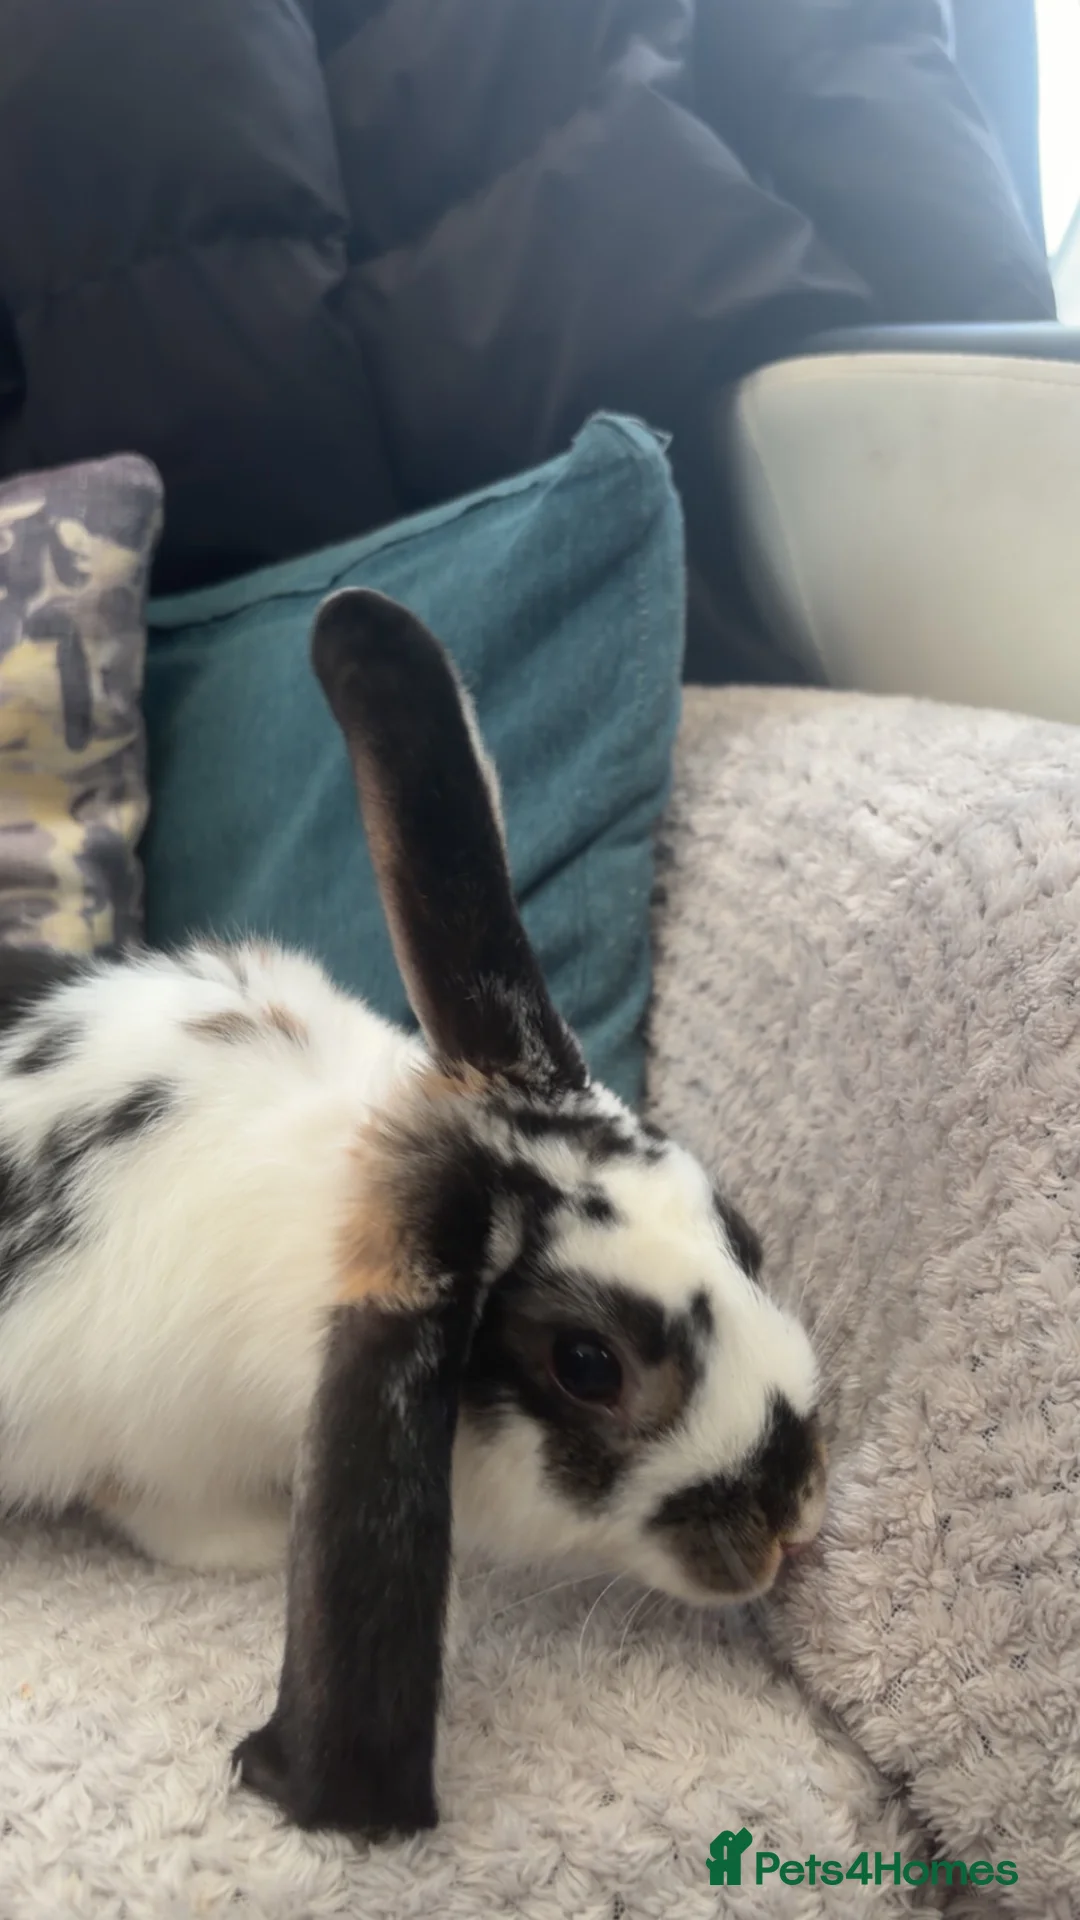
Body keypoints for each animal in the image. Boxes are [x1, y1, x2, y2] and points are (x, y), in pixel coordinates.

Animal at [0, 588, 826, 1842]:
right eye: (588, 1365)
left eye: (738, 1228)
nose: (790, 1510)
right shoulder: (143, 1439)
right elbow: (166, 1511)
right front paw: (254, 1549)